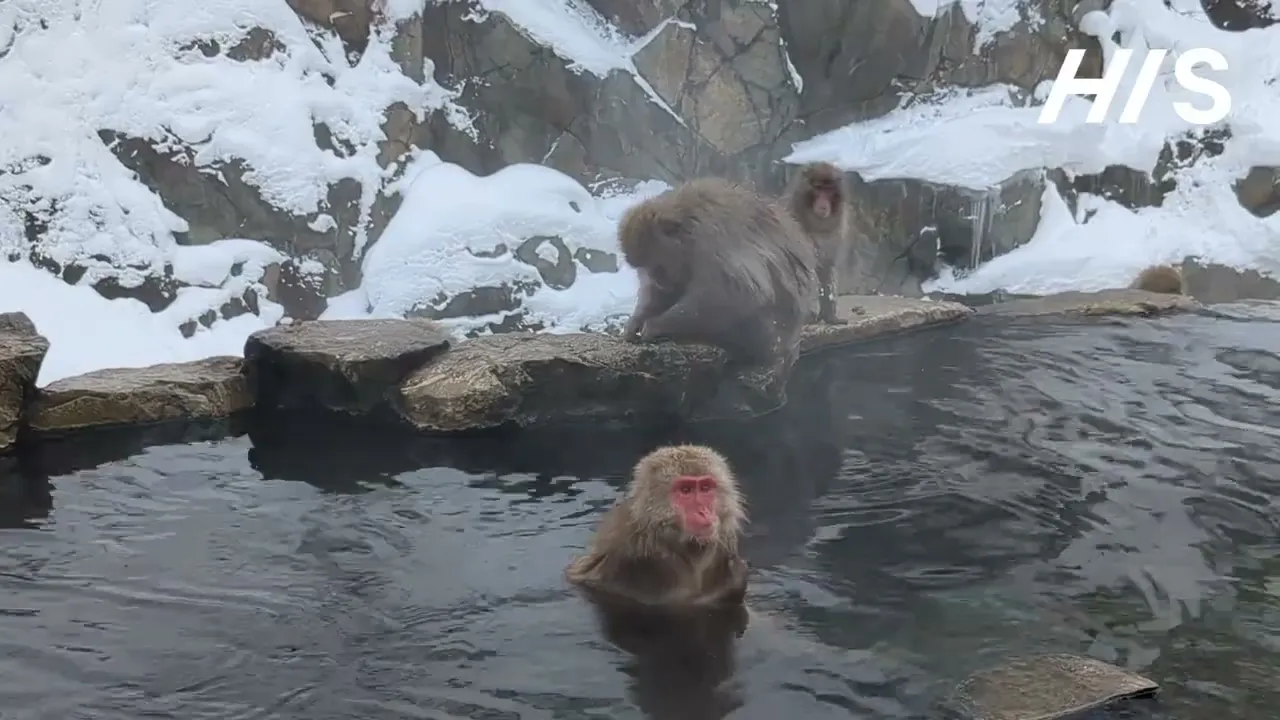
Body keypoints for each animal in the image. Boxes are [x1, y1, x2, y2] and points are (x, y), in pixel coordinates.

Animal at [565, 444, 749, 610]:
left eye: (705, 488)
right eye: (686, 490)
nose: (703, 512)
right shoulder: (643, 563)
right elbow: (680, 605)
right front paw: (735, 578)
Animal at [618, 178, 818, 369]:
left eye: (658, 266)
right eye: (645, 268)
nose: (658, 280)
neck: (688, 225)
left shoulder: (710, 242)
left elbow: (738, 293)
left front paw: (655, 325)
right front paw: (636, 320)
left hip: (768, 335)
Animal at [786, 161, 852, 325]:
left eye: (828, 190)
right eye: (818, 188)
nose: (823, 204)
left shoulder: (836, 232)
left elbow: (827, 266)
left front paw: (830, 316)